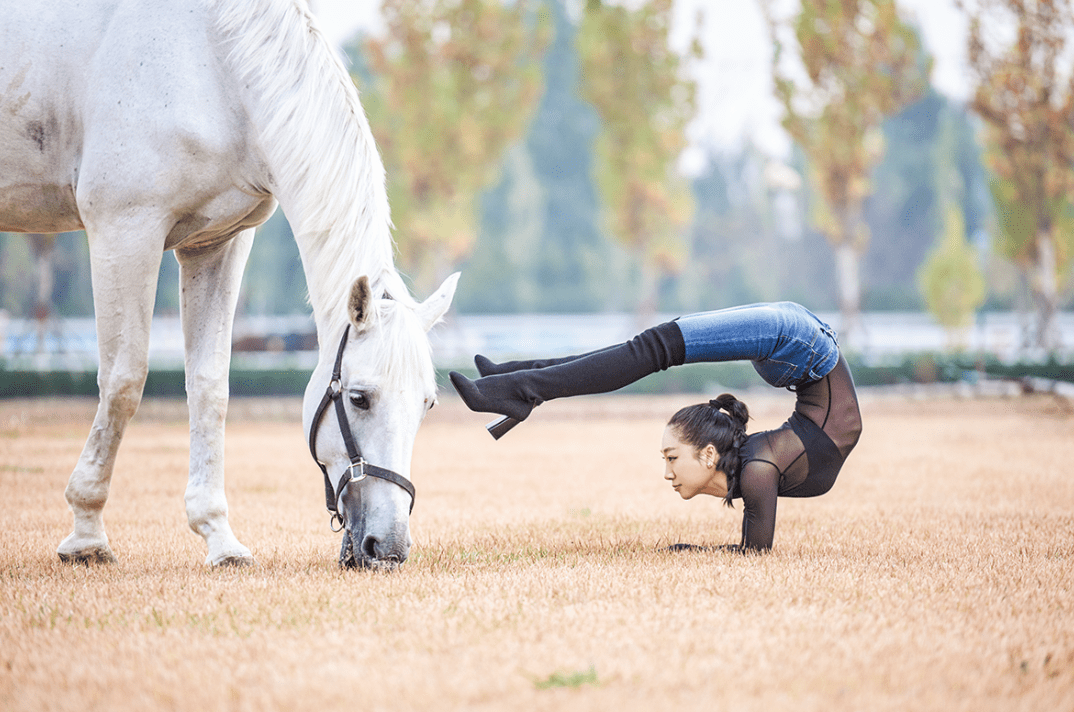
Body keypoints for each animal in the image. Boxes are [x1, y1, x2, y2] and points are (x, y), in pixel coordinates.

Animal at [0, 0, 457, 567]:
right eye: (359, 398)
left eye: (427, 404)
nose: (388, 546)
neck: (215, 65)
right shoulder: (123, 230)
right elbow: (123, 380)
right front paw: (86, 535)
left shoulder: (217, 242)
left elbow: (210, 386)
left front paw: (218, 535)